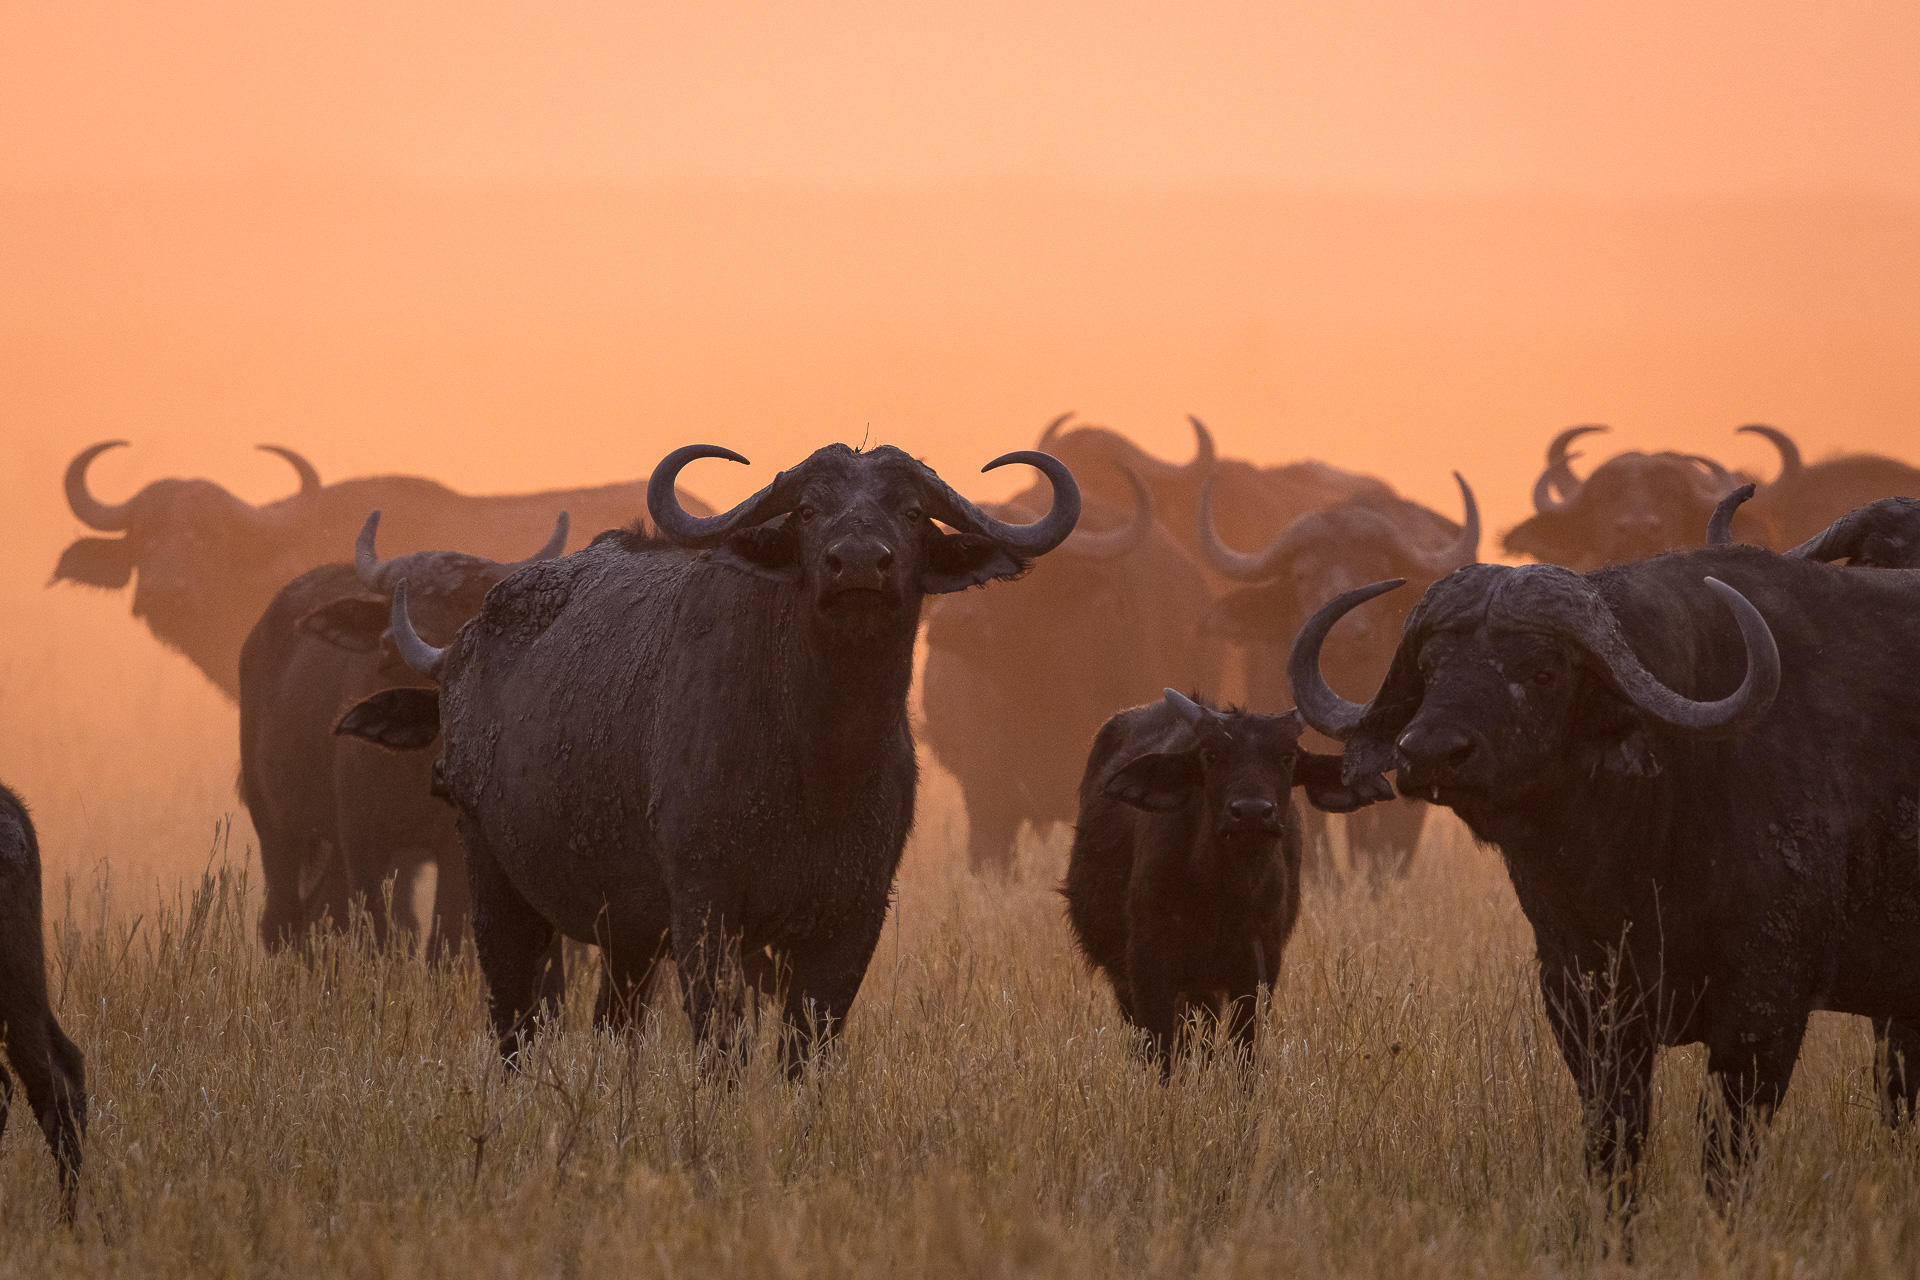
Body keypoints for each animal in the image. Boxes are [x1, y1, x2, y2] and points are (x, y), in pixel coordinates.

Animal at [240, 511, 569, 952]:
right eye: (396, 602)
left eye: (457, 602)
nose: (392, 646)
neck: (413, 763)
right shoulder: (363, 839)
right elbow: (378, 929)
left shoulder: (453, 849)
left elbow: (445, 938)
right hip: (274, 823)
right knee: (283, 920)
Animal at [340, 442, 1080, 1066]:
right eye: (808, 509)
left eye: (911, 510)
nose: (859, 564)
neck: (819, 761)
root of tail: (463, 647)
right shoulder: (706, 909)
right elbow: (722, 1043)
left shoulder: (854, 917)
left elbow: (806, 1049)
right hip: (494, 880)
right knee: (516, 1016)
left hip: (628, 933)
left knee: (615, 1021)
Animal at [1062, 690, 1380, 1074]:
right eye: (1212, 756)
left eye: (1287, 757)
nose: (1252, 812)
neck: (1222, 893)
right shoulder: (1147, 961)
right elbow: (1159, 1050)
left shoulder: (1259, 966)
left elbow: (1243, 1051)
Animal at [1290, 549, 1920, 1197]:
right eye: (1430, 667)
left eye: (1543, 671)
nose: (1429, 751)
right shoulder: (1583, 1001)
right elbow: (1614, 1140)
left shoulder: (1764, 1006)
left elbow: (1725, 1152)